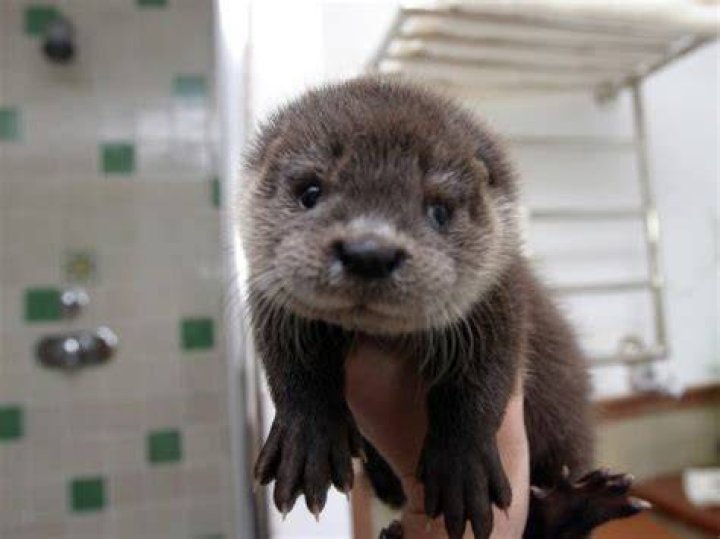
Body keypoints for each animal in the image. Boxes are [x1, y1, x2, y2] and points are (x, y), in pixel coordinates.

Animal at [242, 77, 644, 539]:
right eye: (310, 191)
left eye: (439, 209)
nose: (369, 251)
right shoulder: (270, 298)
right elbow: (292, 364)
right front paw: (309, 437)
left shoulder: (501, 299)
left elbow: (482, 378)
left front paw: (460, 467)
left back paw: (574, 506)